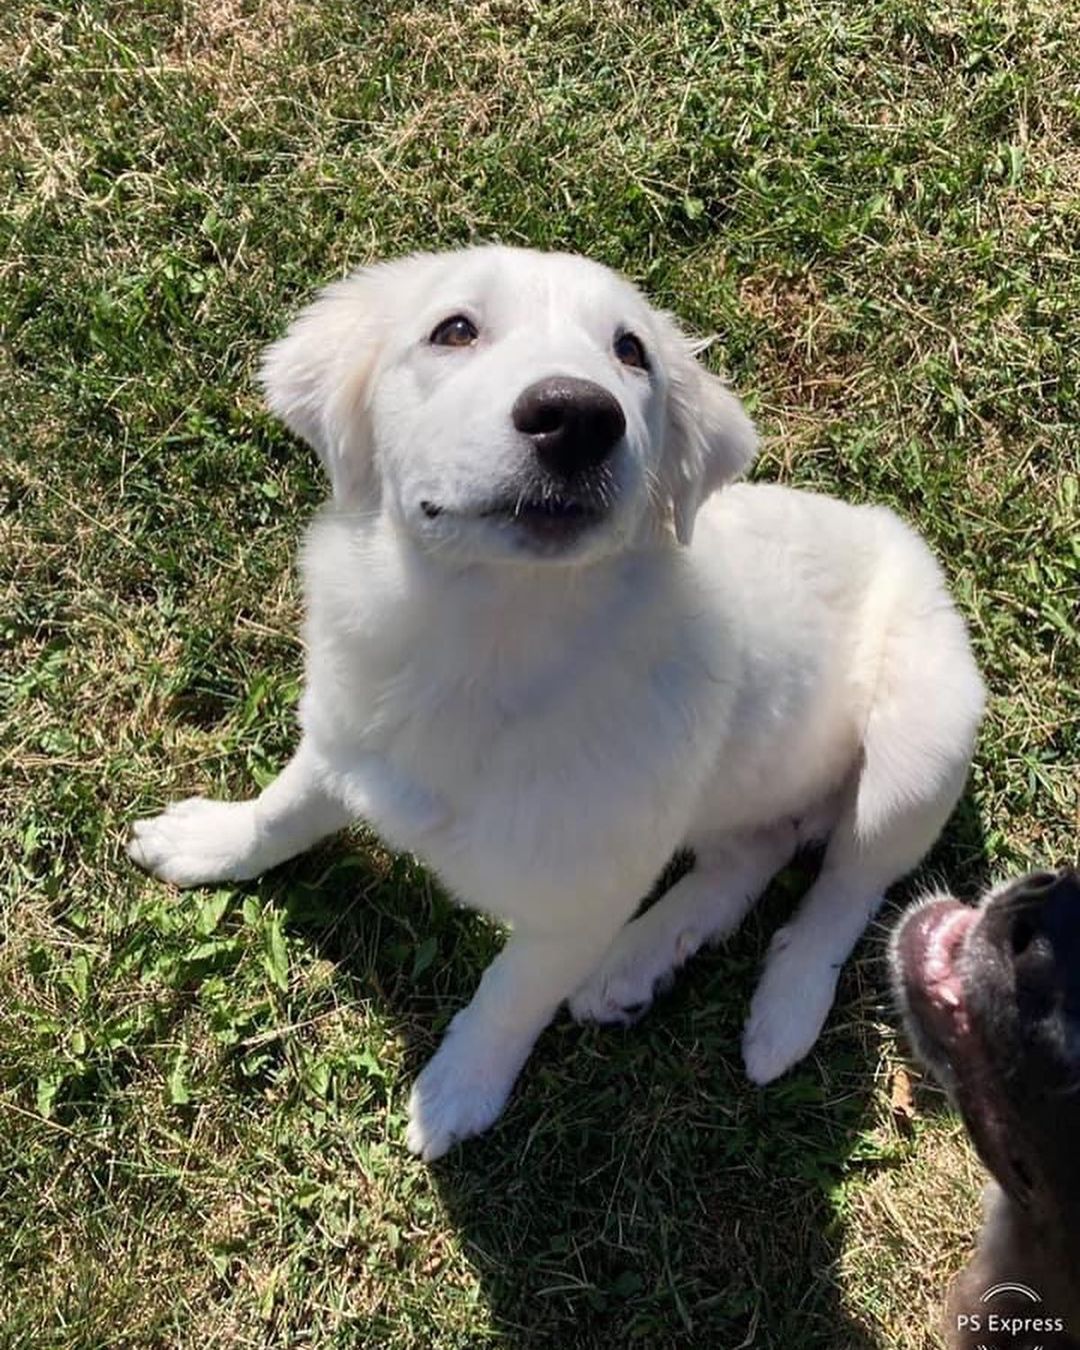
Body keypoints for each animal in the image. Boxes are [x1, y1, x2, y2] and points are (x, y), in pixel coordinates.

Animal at [128, 251, 988, 1161]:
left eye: (631, 351)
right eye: (455, 330)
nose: (576, 417)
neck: (486, 639)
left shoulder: (583, 894)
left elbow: (512, 992)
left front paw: (459, 1088)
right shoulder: (345, 742)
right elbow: (281, 812)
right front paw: (208, 841)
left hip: (918, 744)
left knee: (848, 885)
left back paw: (782, 1007)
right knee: (755, 849)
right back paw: (638, 959)